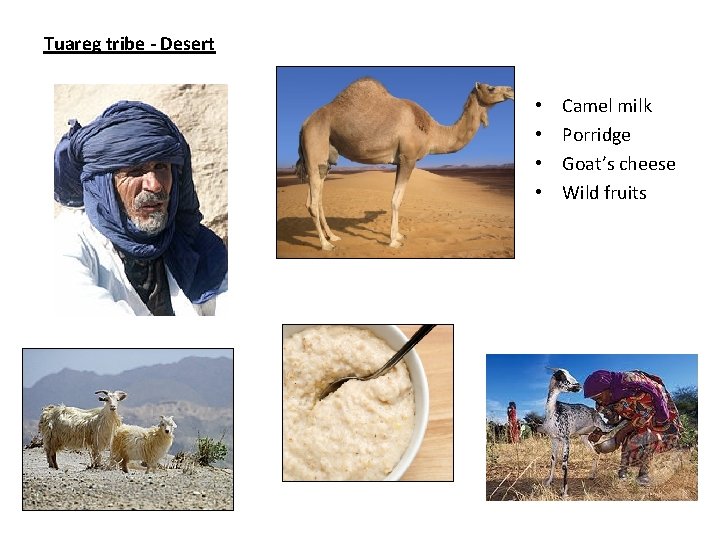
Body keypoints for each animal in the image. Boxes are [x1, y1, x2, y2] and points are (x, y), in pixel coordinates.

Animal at [295, 77, 514, 250]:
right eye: (491, 88)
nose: (511, 90)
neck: (432, 131)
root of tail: (304, 124)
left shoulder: (399, 161)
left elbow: (396, 198)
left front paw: (398, 235)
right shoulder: (409, 158)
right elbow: (396, 200)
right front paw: (394, 241)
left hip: (326, 160)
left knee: (316, 199)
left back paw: (333, 236)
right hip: (316, 146)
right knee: (313, 202)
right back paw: (325, 244)